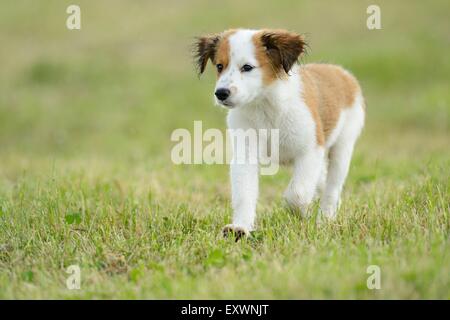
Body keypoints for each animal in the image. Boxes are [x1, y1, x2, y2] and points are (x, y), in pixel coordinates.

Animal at [193, 28, 366, 239]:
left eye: (247, 67)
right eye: (219, 66)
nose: (221, 93)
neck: (266, 107)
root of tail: (341, 73)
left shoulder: (310, 150)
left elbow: (297, 193)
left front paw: (303, 213)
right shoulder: (245, 154)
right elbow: (244, 194)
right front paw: (240, 227)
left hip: (343, 146)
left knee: (332, 188)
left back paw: (325, 219)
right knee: (322, 179)